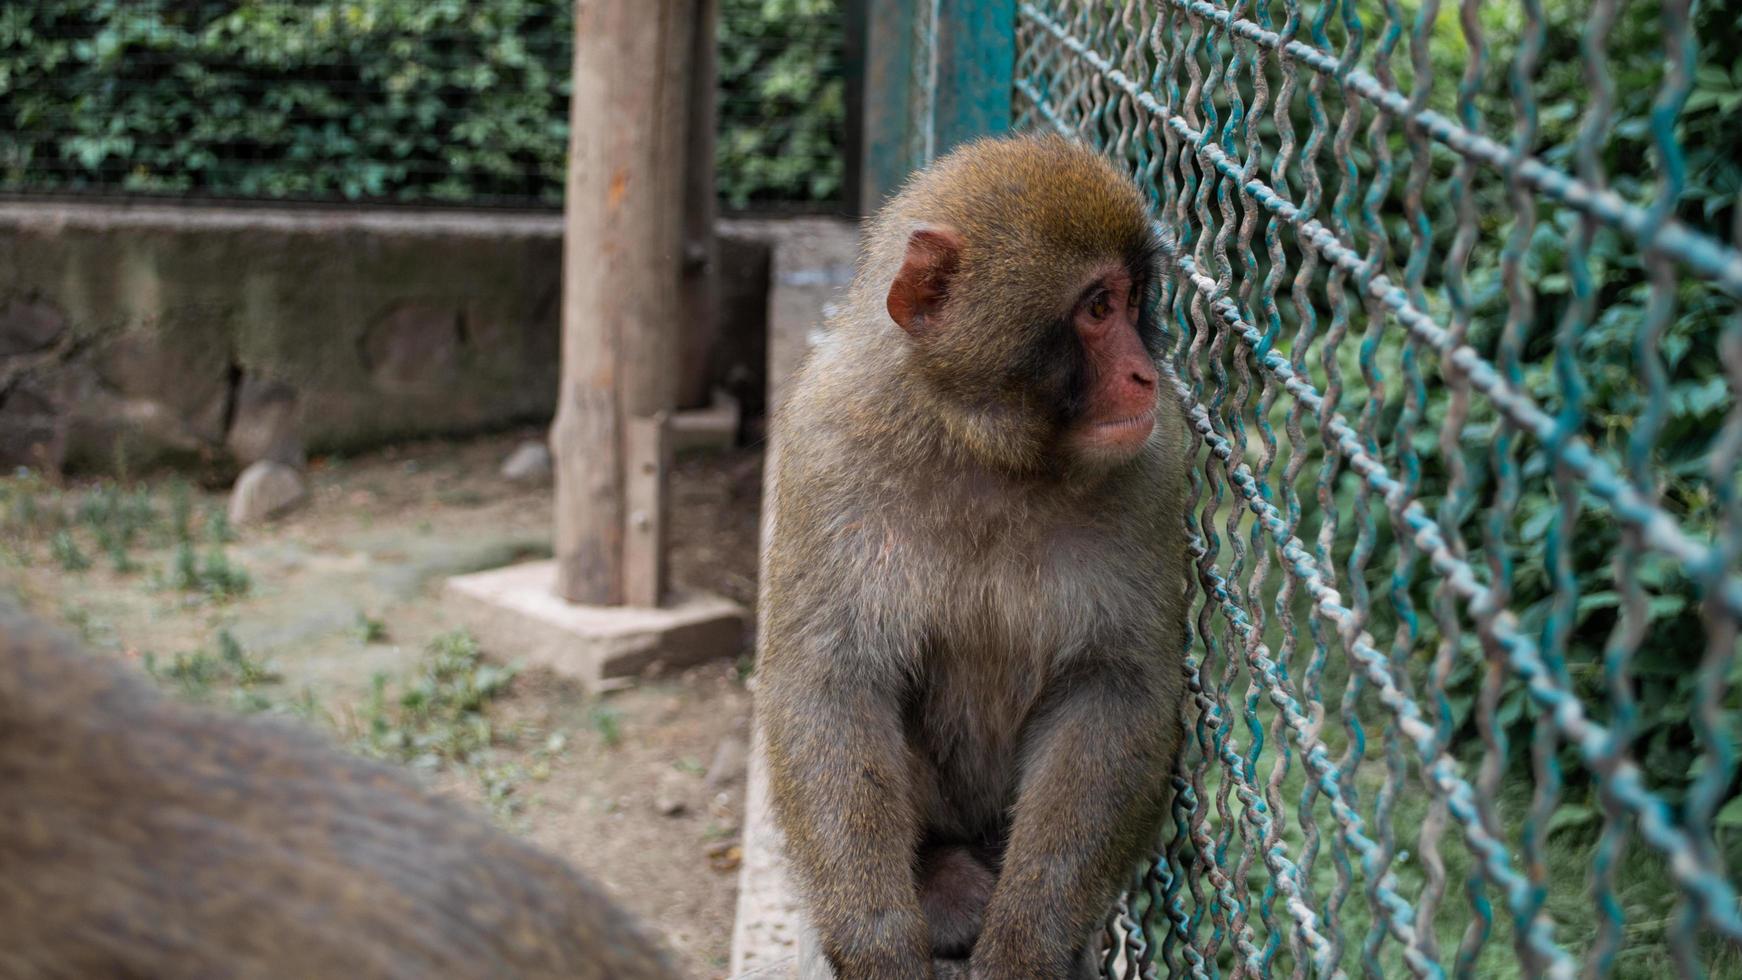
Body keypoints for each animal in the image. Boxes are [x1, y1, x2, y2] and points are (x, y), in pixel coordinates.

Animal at [762, 132, 1198, 980]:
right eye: (1098, 308)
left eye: (1135, 301)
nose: (1144, 374)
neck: (985, 446)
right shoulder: (825, 445)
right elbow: (829, 682)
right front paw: (878, 947)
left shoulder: (1154, 470)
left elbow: (1115, 690)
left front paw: (1027, 947)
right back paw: (941, 877)